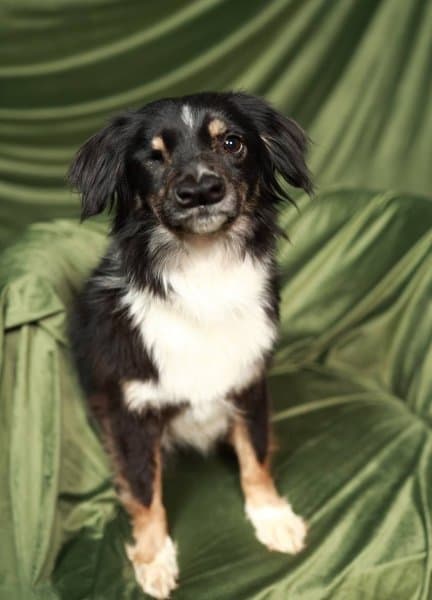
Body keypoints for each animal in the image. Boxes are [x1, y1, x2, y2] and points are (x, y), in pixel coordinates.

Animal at [68, 91, 313, 599]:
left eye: (232, 143)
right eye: (153, 157)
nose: (201, 191)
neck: (204, 272)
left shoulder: (249, 385)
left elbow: (256, 456)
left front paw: (272, 517)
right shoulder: (132, 413)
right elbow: (145, 489)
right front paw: (153, 557)